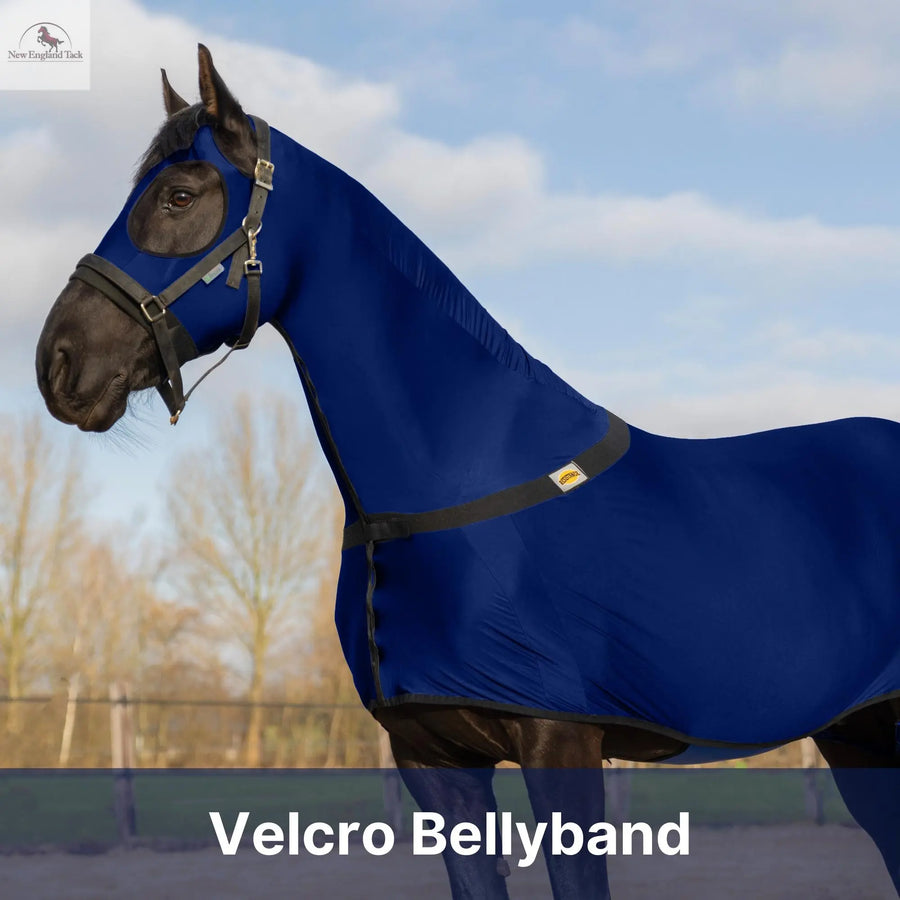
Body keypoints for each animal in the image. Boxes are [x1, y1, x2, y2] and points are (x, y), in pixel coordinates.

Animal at [35, 45, 900, 898]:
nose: (58, 362)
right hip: (859, 738)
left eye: (180, 195)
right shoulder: (434, 761)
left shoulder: (561, 745)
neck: (454, 484)